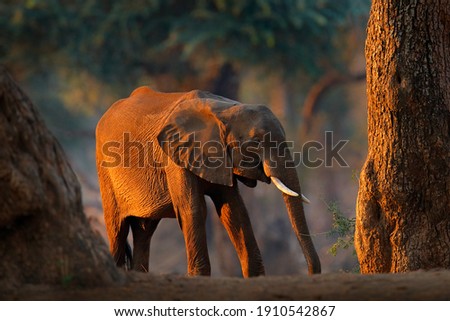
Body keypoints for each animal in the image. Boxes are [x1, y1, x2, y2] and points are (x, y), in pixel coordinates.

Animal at [96, 86, 320, 276]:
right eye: (255, 143)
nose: (310, 271)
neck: (224, 110)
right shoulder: (174, 157)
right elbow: (193, 209)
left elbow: (235, 210)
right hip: (105, 171)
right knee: (117, 230)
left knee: (144, 230)